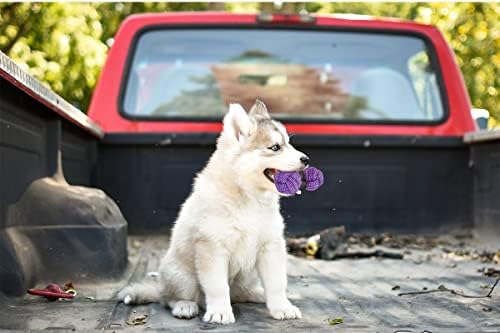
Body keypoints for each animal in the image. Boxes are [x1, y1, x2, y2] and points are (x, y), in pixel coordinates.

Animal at [119, 100, 310, 322]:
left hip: (247, 275)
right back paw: (184, 306)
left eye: (288, 143)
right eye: (275, 147)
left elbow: (277, 283)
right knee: (169, 298)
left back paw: (259, 294)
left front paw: (282, 307)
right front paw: (220, 311)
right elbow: (218, 286)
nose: (306, 159)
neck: (249, 197)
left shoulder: (270, 246)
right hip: (181, 276)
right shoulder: (212, 248)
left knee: (240, 293)